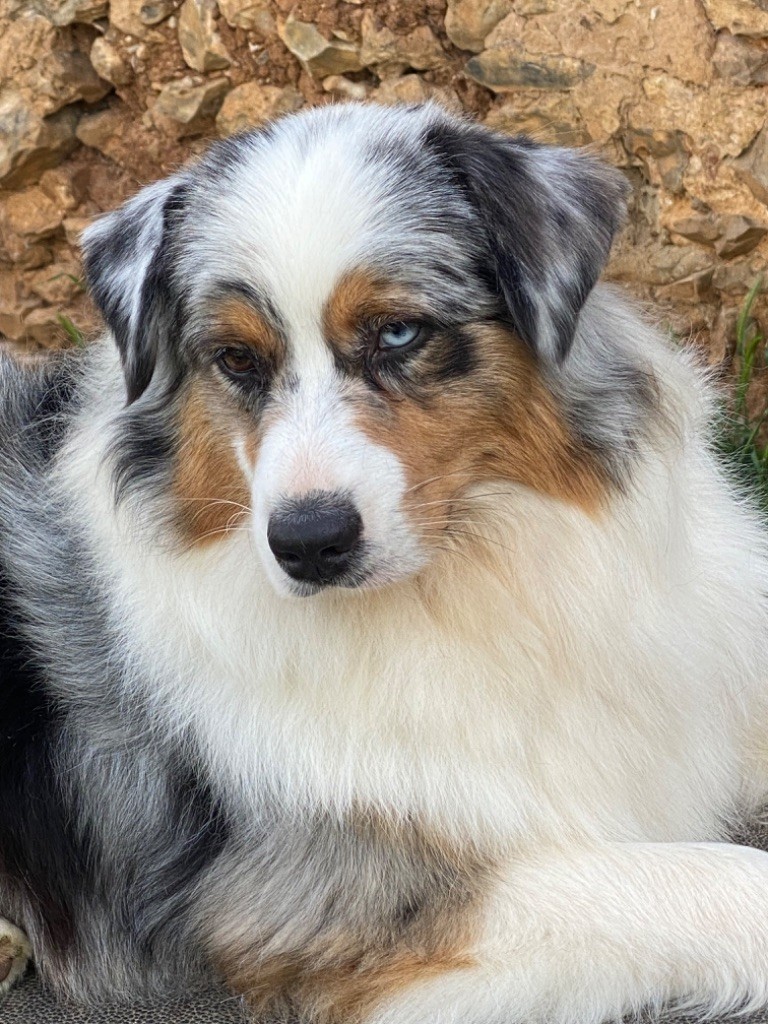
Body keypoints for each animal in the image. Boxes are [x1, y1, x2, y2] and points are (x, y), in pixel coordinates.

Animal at [2, 101, 768, 1023]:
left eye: (398, 332)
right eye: (237, 359)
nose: (308, 543)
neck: (481, 569)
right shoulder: (334, 896)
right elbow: (716, 883)